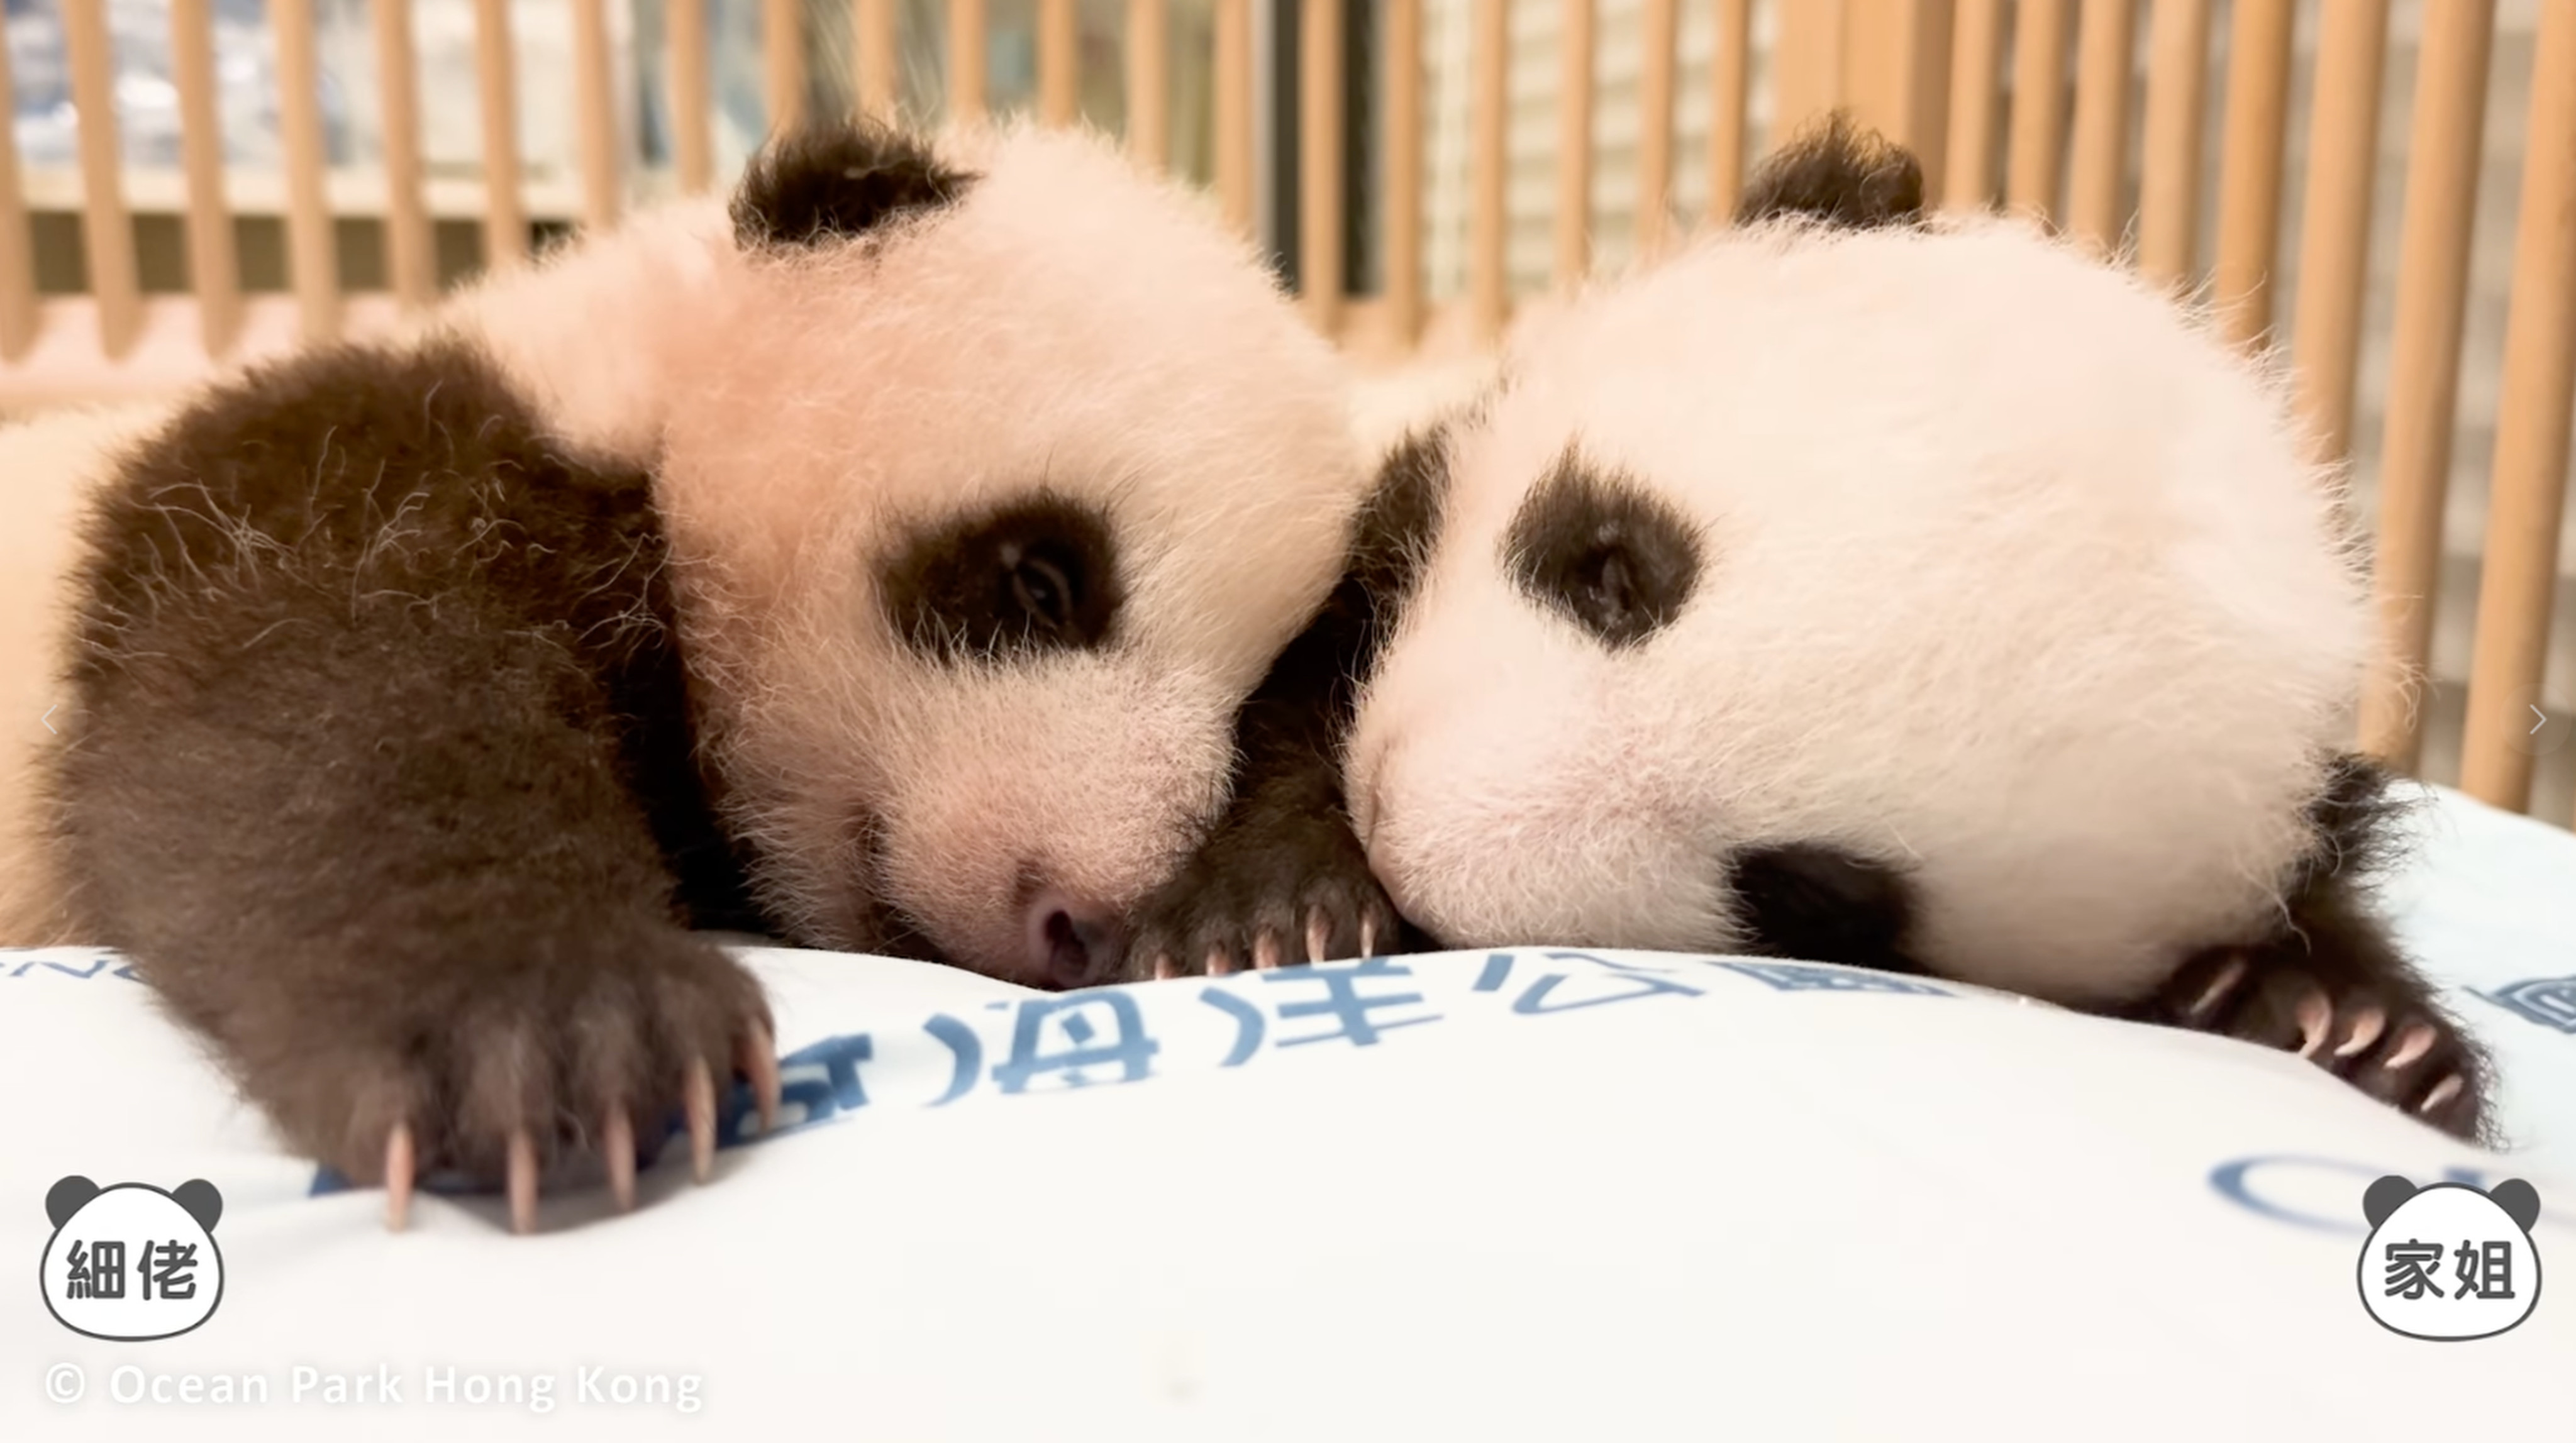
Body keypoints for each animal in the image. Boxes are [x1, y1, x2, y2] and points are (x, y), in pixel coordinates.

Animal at [0, 118, 1370, 1229]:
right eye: (1041, 581)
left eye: (1247, 702)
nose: (1082, 916)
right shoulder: (306, 480)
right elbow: (331, 702)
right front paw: (552, 1027)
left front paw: (1270, 910)